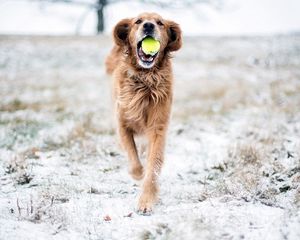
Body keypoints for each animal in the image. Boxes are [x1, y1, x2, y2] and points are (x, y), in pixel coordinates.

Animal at [104, 12, 182, 214]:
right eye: (137, 21)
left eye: (160, 23)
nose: (148, 26)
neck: (145, 79)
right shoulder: (122, 124)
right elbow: (133, 158)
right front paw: (138, 173)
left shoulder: (158, 128)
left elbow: (153, 164)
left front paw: (146, 200)